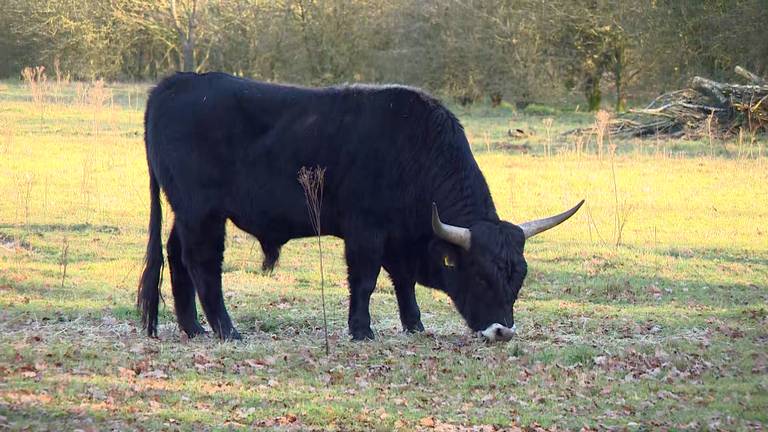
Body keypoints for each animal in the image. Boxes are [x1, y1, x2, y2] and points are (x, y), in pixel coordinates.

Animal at [138, 75, 584, 344]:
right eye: (478, 274)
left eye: (518, 276)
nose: (502, 331)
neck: (415, 149)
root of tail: (175, 83)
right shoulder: (366, 231)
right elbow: (366, 281)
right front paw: (362, 330)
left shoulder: (401, 237)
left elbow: (403, 282)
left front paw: (414, 325)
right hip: (202, 213)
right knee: (202, 264)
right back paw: (226, 330)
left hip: (185, 213)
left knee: (176, 257)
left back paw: (192, 327)